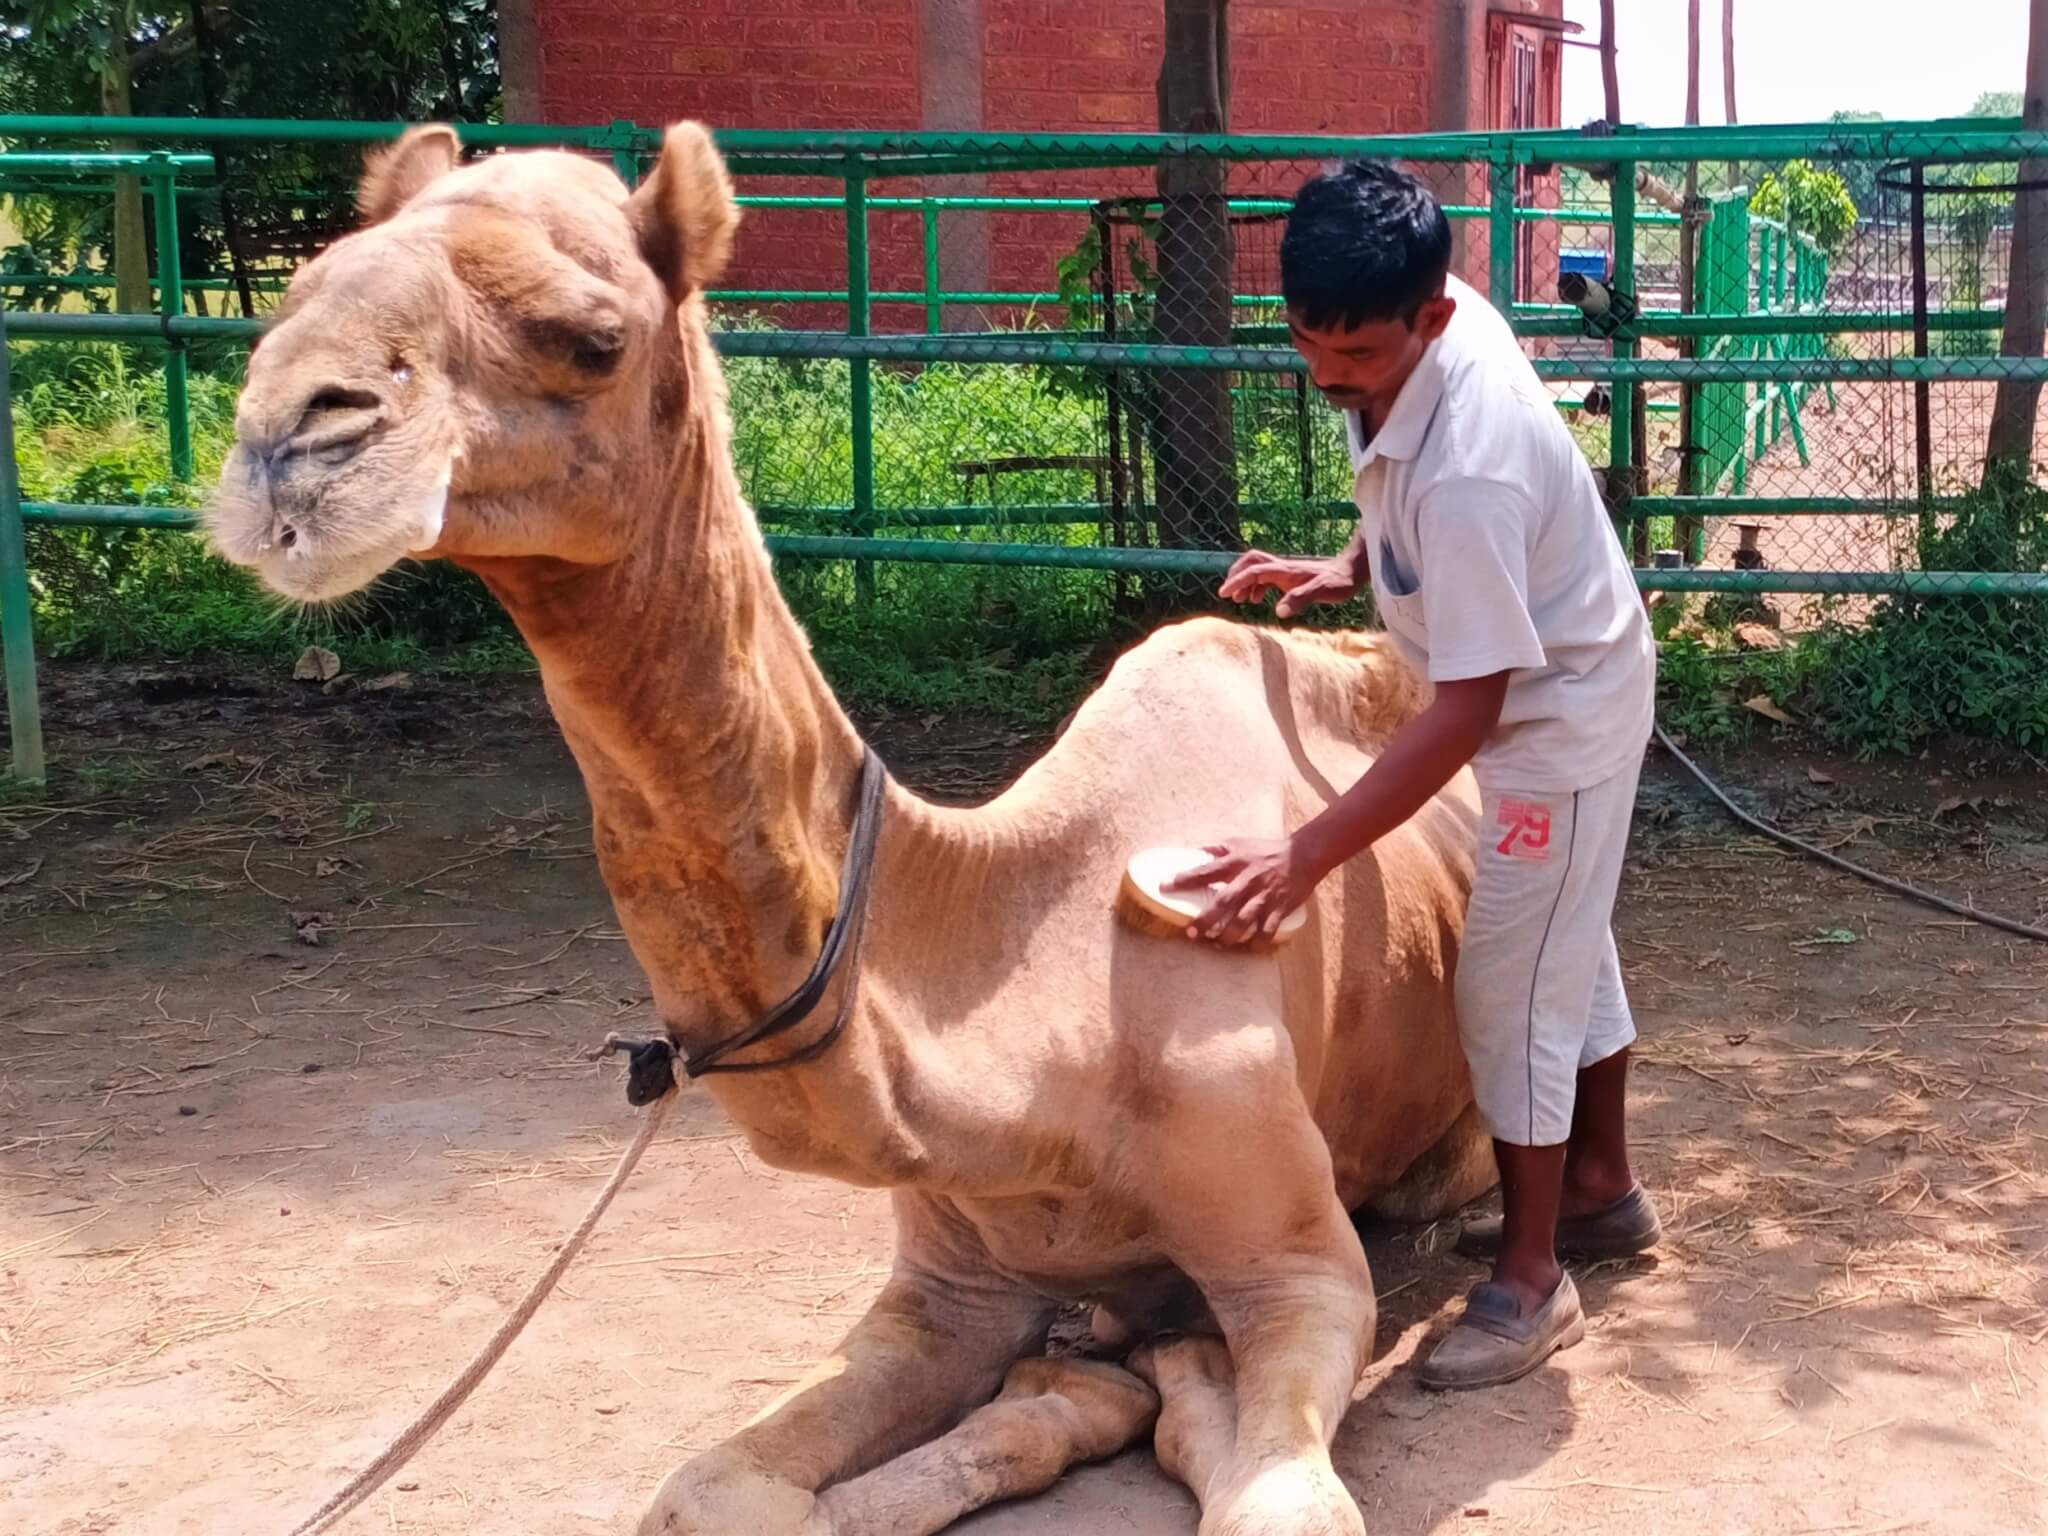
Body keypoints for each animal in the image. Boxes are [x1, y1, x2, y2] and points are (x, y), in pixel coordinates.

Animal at [207, 123, 1499, 1536]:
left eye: (591, 335)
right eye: (296, 287)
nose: (285, 446)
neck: (1045, 1016)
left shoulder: (1300, 1263)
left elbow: (1275, 1494)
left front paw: (1160, 1372)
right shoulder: (950, 1283)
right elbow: (713, 1487)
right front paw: (1080, 1387)